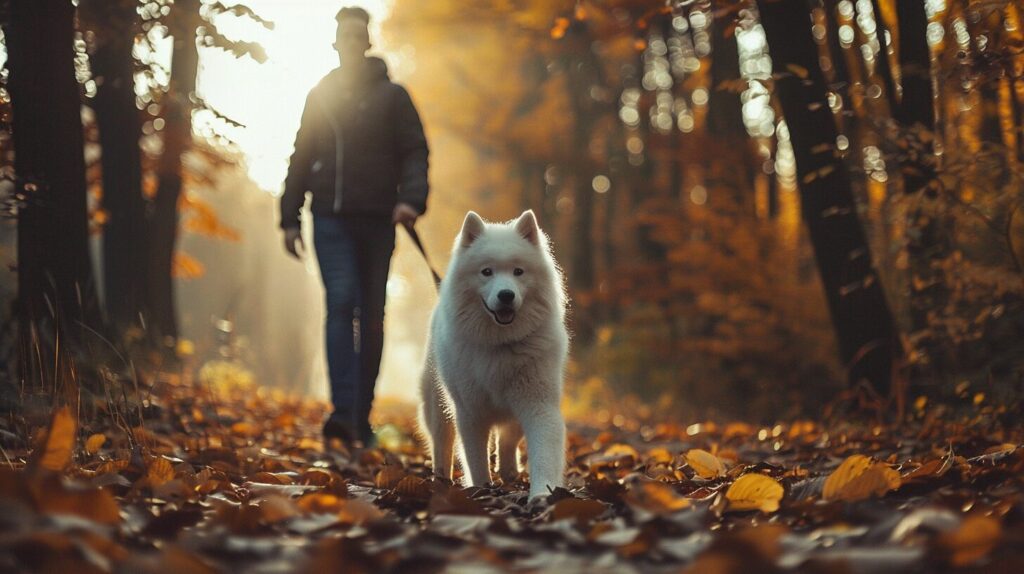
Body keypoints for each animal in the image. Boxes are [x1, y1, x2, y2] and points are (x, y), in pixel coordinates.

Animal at [419, 209, 573, 497]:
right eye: (486, 272)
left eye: (518, 271)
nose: (506, 295)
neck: (501, 345)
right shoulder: (470, 412)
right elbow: (475, 459)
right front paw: (481, 490)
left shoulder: (538, 405)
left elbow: (543, 453)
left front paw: (541, 494)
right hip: (438, 406)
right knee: (441, 444)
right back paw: (441, 479)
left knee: (508, 440)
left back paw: (510, 471)